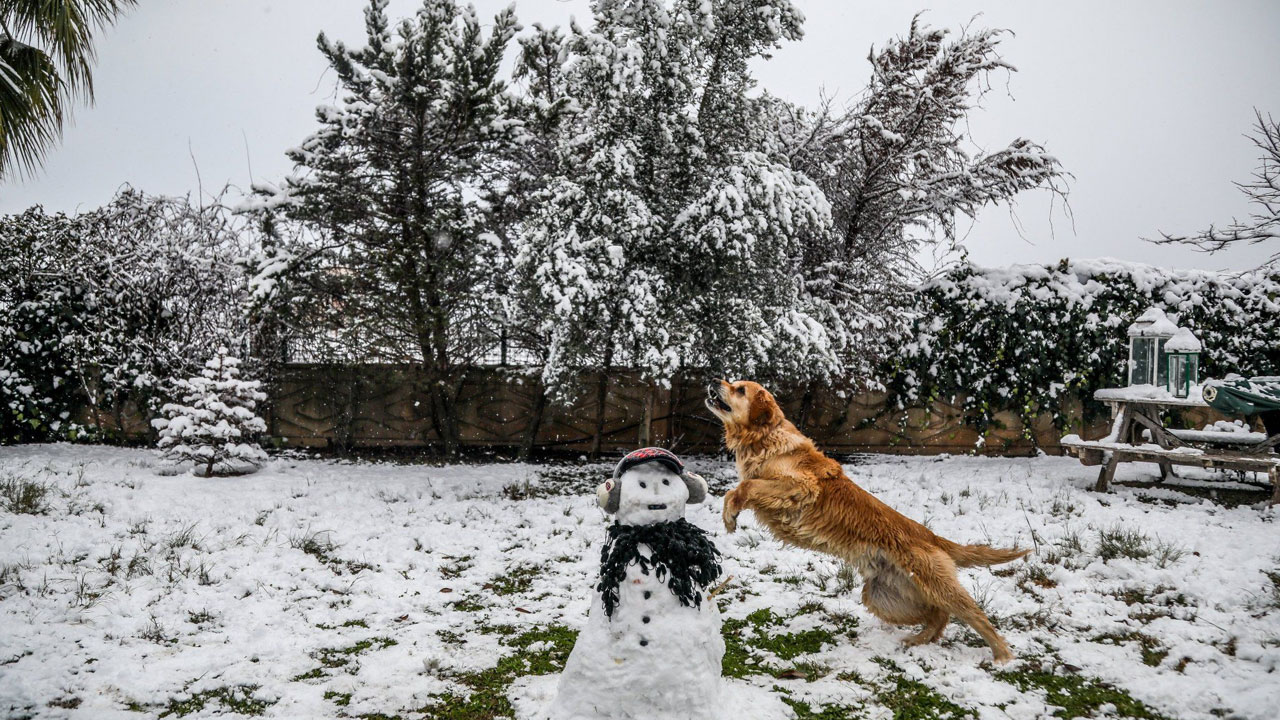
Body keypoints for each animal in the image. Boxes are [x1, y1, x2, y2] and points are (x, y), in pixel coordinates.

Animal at [711, 379, 1029, 661]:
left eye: (740, 389)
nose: (714, 380)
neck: (763, 438)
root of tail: (931, 536)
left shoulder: (802, 488)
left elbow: (745, 487)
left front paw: (731, 515)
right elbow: (733, 490)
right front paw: (729, 515)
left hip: (935, 585)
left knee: (973, 615)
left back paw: (1001, 656)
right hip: (883, 597)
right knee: (938, 614)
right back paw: (919, 640)